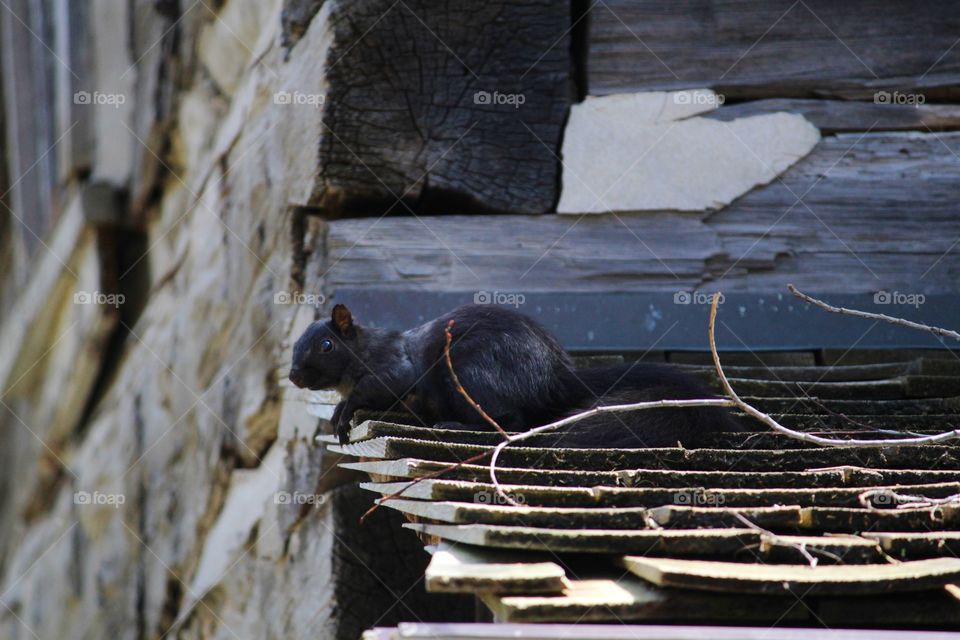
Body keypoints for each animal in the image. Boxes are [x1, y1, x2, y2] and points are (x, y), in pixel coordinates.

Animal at [289, 303, 738, 447]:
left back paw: (456, 424)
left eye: (325, 345)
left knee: (512, 421)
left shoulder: (395, 368)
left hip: (472, 374)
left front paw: (345, 410)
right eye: (293, 344)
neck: (363, 350)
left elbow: (379, 389)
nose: (293, 376)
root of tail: (555, 376)